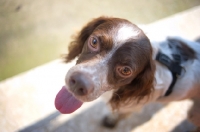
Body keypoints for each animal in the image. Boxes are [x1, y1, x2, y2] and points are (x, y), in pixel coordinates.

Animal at [54, 16, 200, 128]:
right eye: (94, 41)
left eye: (125, 70)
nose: (79, 83)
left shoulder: (130, 107)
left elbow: (119, 115)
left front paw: (110, 122)